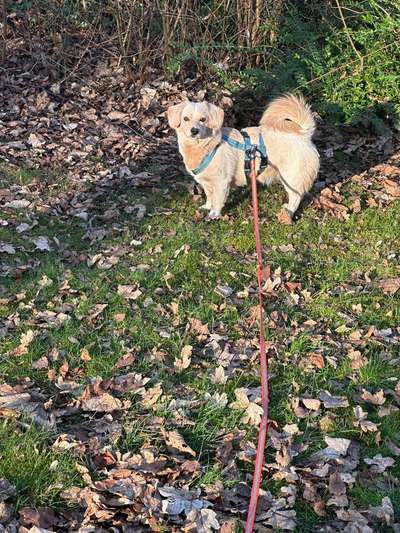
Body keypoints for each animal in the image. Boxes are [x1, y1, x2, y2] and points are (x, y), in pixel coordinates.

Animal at [167, 93, 320, 222]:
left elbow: (217, 201)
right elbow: (210, 197)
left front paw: (213, 215)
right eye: (185, 119)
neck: (207, 146)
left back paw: (288, 212)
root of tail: (304, 134)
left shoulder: (221, 183)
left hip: (291, 179)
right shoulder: (206, 183)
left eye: (203, 119)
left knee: (296, 197)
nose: (194, 130)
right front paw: (206, 206)